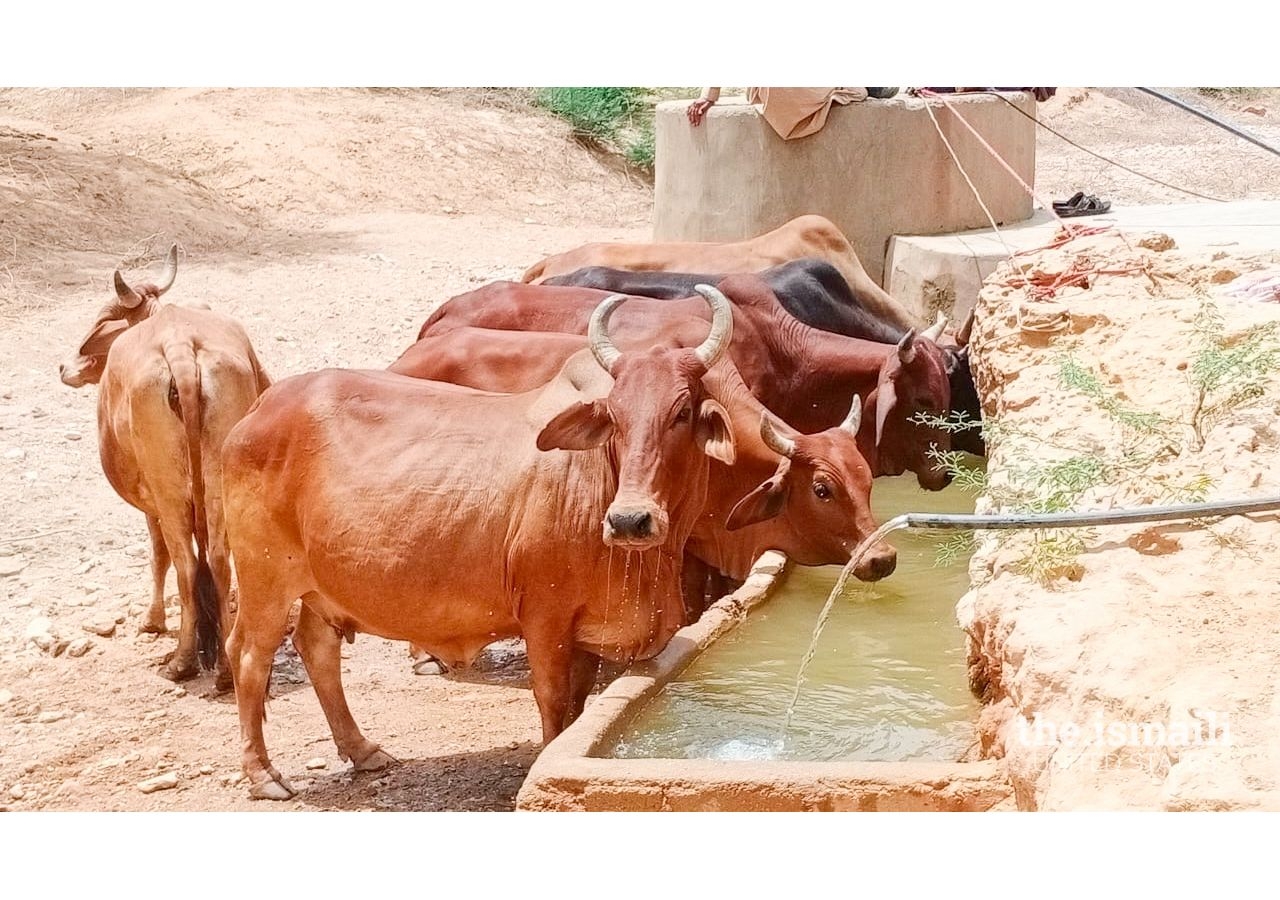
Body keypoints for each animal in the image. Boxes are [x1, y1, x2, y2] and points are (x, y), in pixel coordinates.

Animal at [58, 243, 273, 686]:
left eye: (101, 320)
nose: (63, 367)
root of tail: (180, 348)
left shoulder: (150, 503)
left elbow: (159, 555)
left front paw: (152, 620)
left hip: (169, 493)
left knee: (188, 564)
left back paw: (183, 661)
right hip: (218, 483)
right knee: (218, 560)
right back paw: (223, 666)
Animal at [222, 290, 742, 803]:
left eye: (681, 412)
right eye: (614, 415)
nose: (630, 520)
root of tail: (261, 405)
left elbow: (577, 706)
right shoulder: (545, 617)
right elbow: (554, 703)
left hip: (319, 584)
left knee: (317, 648)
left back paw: (363, 749)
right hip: (264, 576)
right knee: (248, 655)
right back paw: (263, 774)